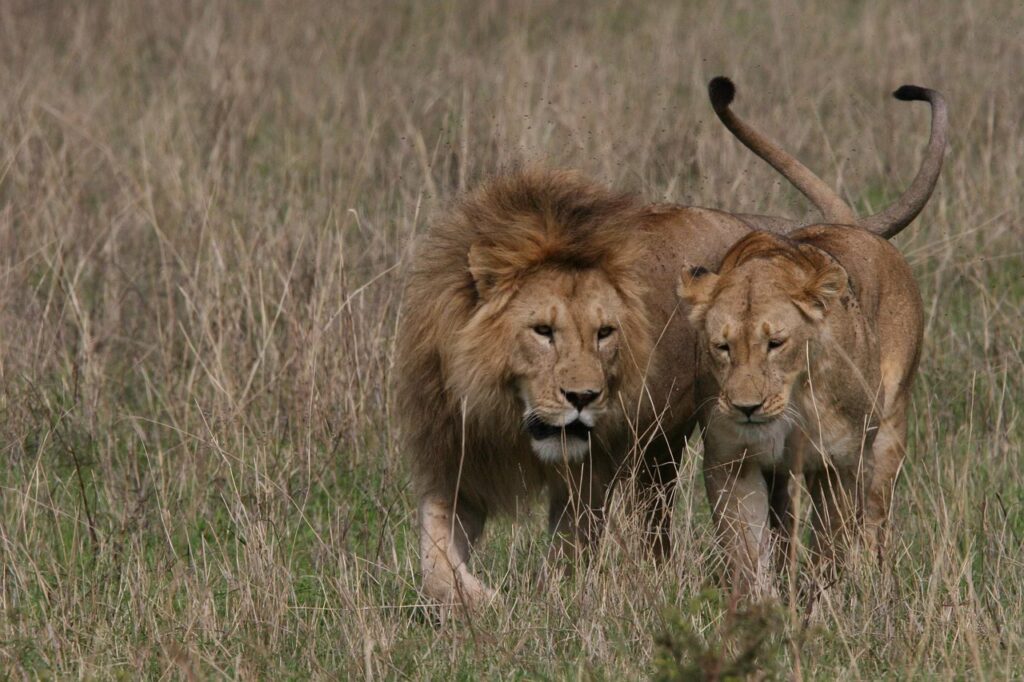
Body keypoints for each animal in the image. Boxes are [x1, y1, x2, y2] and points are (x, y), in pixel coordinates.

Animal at [677, 227, 924, 598]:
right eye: (722, 347)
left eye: (776, 343)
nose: (746, 408)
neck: (792, 401)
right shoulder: (733, 462)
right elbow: (748, 551)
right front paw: (761, 604)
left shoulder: (839, 464)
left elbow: (830, 550)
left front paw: (822, 601)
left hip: (889, 434)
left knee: (874, 521)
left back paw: (873, 583)